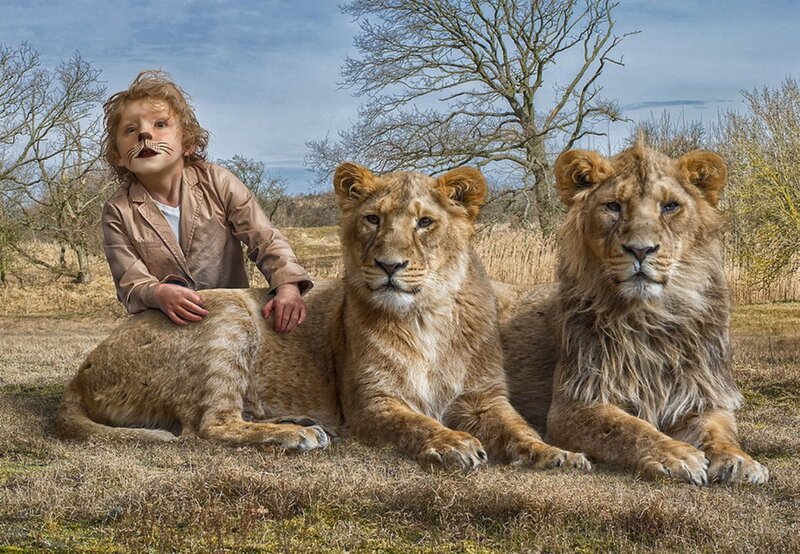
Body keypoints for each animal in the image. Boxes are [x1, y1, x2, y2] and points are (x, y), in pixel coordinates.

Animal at [57, 162, 589, 472]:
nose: (389, 266)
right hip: (226, 313)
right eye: (373, 219)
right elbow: (418, 424)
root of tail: (80, 372)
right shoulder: (372, 403)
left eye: (425, 222)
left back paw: (300, 423)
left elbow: (520, 429)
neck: (427, 316)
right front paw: (454, 443)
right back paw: (297, 435)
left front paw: (558, 454)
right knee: (207, 426)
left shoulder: (485, 398)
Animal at [498, 143, 769, 485]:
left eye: (670, 206)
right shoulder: (574, 403)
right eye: (613, 206)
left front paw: (739, 460)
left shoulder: (703, 395)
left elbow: (720, 431)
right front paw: (676, 455)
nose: (641, 250)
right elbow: (629, 429)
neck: (650, 318)